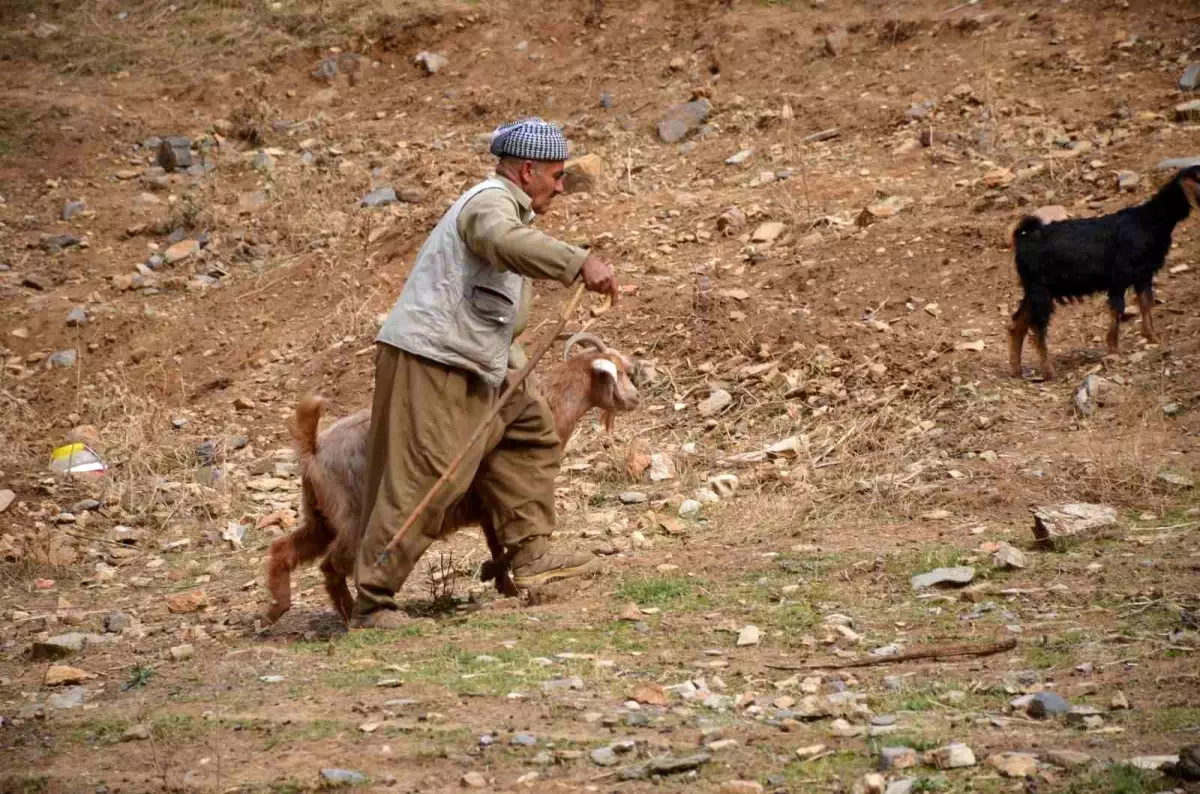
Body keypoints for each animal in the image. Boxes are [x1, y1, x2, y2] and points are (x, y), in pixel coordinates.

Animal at [267, 333, 643, 623]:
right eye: (621, 372)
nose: (636, 399)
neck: (550, 403)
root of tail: (314, 450)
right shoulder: (492, 493)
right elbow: (506, 540)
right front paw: (499, 575)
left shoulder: (485, 505)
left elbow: (497, 542)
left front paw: (503, 582)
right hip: (353, 516)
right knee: (332, 565)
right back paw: (350, 615)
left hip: (320, 516)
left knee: (285, 548)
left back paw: (277, 607)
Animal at [1003, 164, 1200, 379]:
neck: (1151, 221)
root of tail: (1022, 238)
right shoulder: (1119, 277)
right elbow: (1117, 311)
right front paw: (1114, 350)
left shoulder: (1143, 275)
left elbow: (1146, 305)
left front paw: (1154, 339)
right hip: (1040, 290)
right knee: (1037, 328)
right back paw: (1048, 372)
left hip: (1034, 290)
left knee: (1017, 324)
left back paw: (1016, 370)